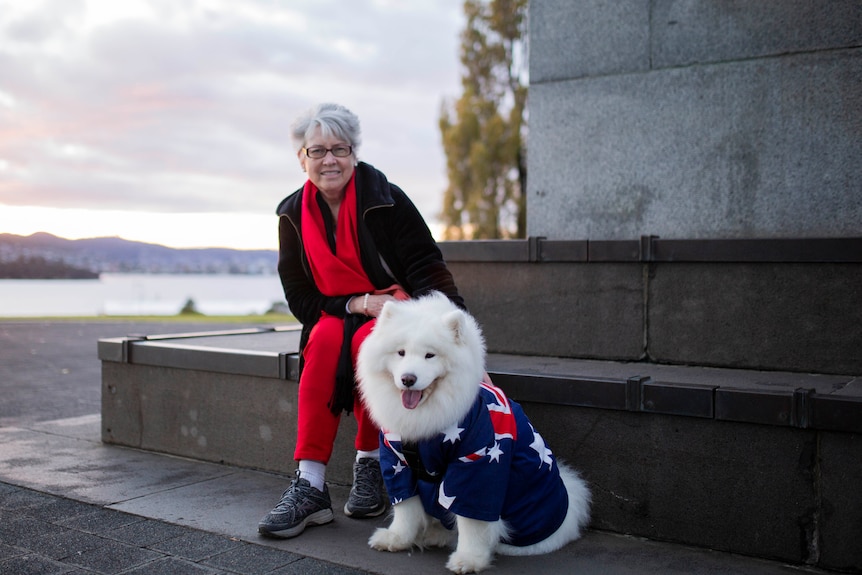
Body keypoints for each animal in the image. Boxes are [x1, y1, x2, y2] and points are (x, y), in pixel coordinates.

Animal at [354, 294, 592, 572]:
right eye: (400, 352)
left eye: (429, 355)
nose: (408, 379)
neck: (427, 419)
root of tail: (569, 508)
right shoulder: (397, 461)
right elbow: (406, 507)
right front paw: (396, 539)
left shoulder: (479, 460)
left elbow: (473, 522)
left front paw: (469, 559)